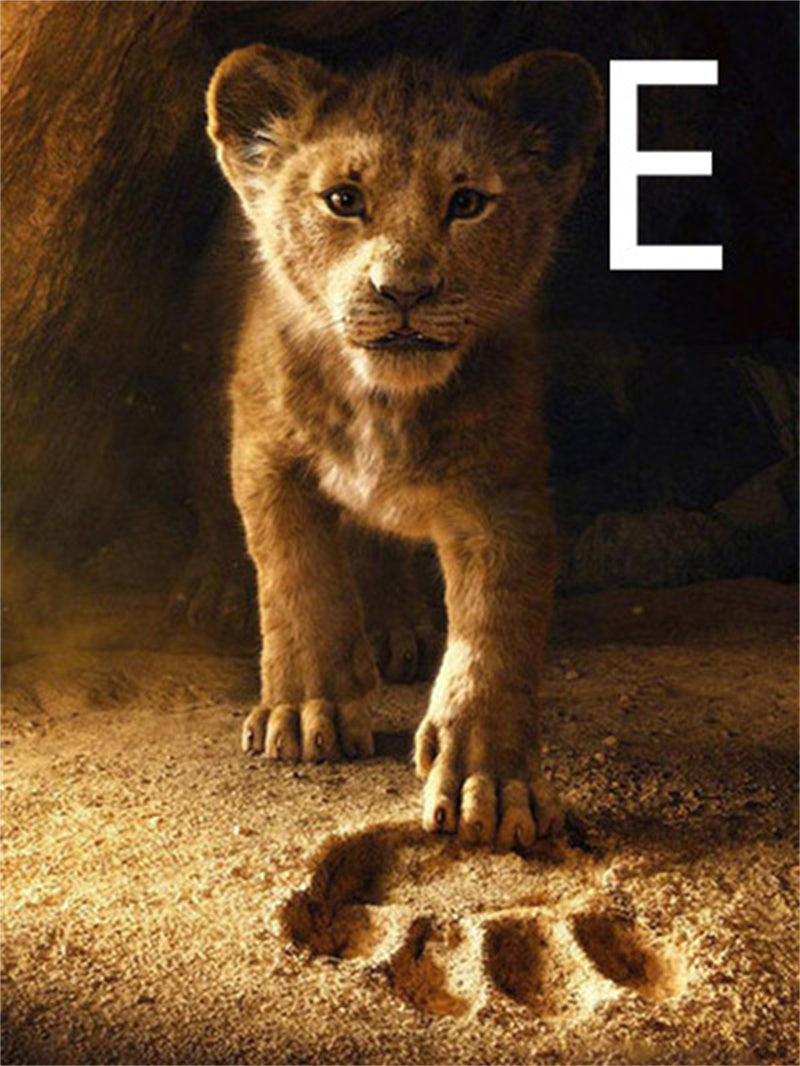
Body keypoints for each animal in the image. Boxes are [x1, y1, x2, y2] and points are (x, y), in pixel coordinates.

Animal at [201, 45, 603, 848]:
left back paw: (396, 630)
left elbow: (495, 633)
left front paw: (491, 781)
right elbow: (298, 578)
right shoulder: (265, 454)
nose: (405, 291)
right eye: (343, 199)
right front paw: (307, 710)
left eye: (468, 202)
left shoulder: (502, 496)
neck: (383, 403)